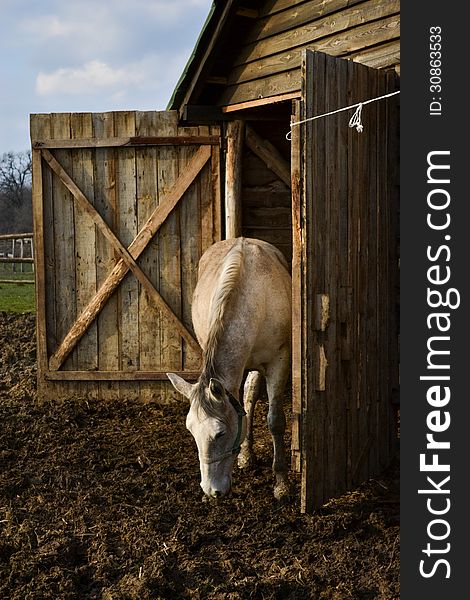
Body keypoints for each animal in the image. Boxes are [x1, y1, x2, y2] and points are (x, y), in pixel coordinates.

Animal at [165, 237, 290, 500]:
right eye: (191, 432)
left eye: (220, 433)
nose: (211, 490)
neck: (254, 298)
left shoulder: (279, 361)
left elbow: (275, 420)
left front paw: (281, 483)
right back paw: (246, 456)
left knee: (251, 396)